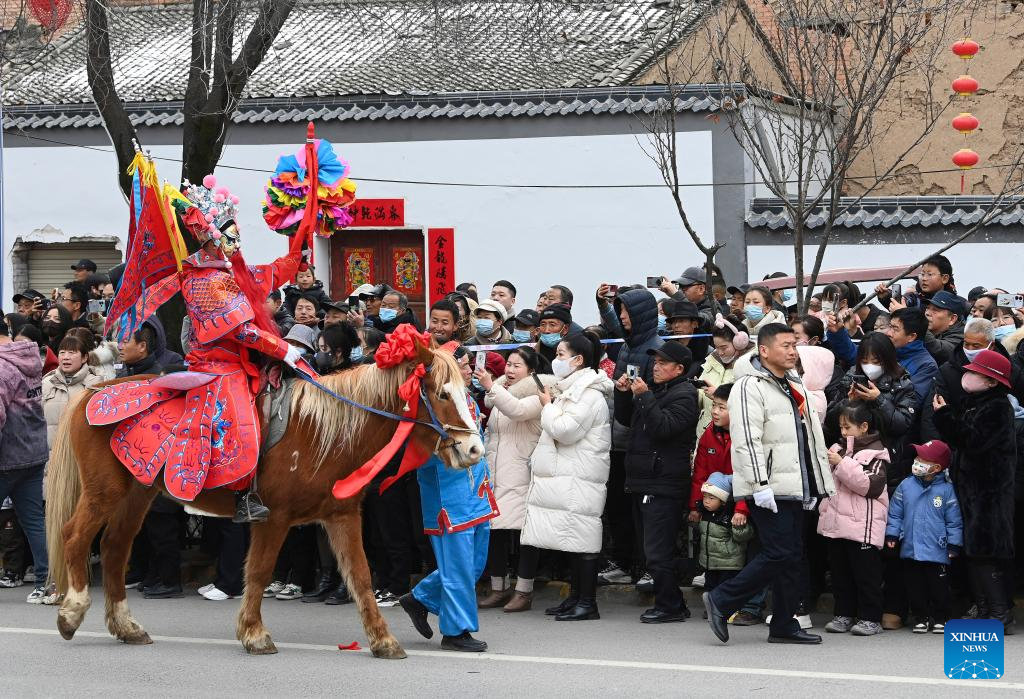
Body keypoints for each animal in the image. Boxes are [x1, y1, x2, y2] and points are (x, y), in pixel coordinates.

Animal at [44, 341, 483, 659]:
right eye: (443, 394)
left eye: (468, 392)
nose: (474, 449)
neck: (325, 431)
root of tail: (91, 392)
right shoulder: (274, 517)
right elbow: (257, 572)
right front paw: (254, 634)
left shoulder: (341, 514)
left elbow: (360, 576)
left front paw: (382, 640)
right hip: (105, 490)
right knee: (75, 536)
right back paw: (72, 611)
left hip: (139, 490)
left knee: (115, 548)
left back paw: (126, 625)